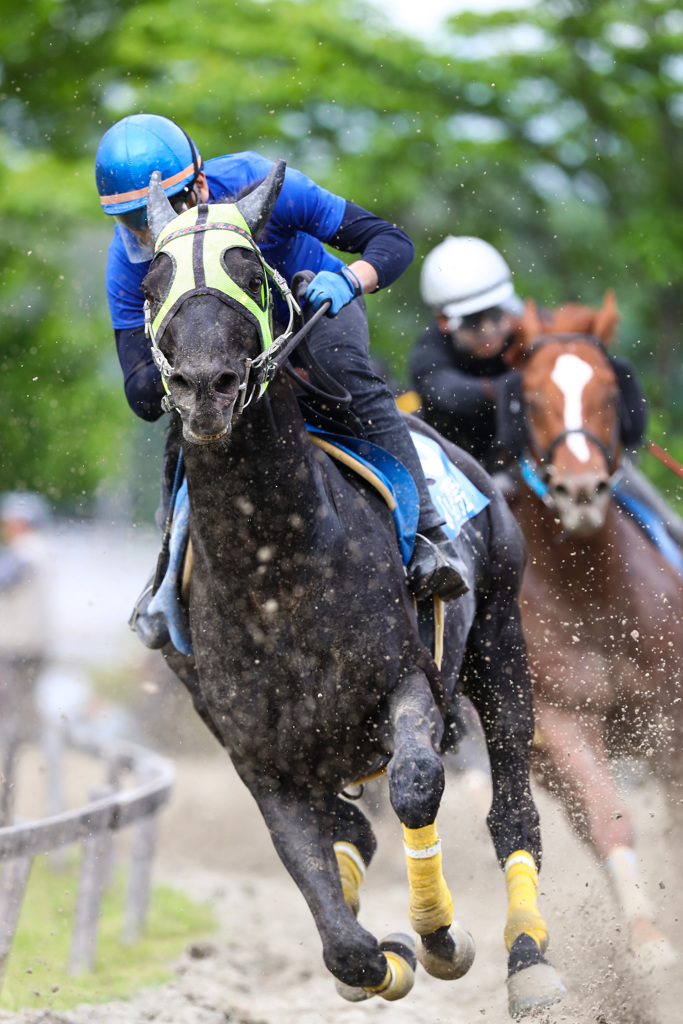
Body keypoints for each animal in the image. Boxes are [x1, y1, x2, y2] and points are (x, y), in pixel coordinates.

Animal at [141, 165, 565, 1015]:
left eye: (249, 270)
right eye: (151, 283)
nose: (205, 387)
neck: (276, 573)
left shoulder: (408, 683)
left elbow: (415, 786)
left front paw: (437, 937)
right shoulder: (259, 757)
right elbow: (334, 922)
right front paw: (382, 956)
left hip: (500, 640)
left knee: (510, 810)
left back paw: (528, 958)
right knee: (354, 834)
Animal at [507, 294, 683, 966]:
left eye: (610, 389)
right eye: (530, 396)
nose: (580, 488)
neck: (594, 600)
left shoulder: (670, 718)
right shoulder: (563, 725)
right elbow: (611, 822)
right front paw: (651, 947)